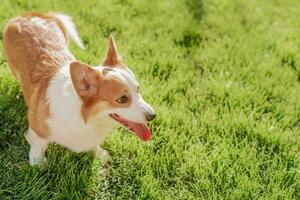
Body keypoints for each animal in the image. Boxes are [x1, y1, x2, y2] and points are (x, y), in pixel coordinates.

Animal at [3, 12, 156, 166]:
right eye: (122, 99)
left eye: (138, 89)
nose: (153, 116)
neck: (86, 117)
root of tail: (28, 15)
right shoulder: (37, 128)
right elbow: (38, 145)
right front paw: (38, 163)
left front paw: (100, 154)